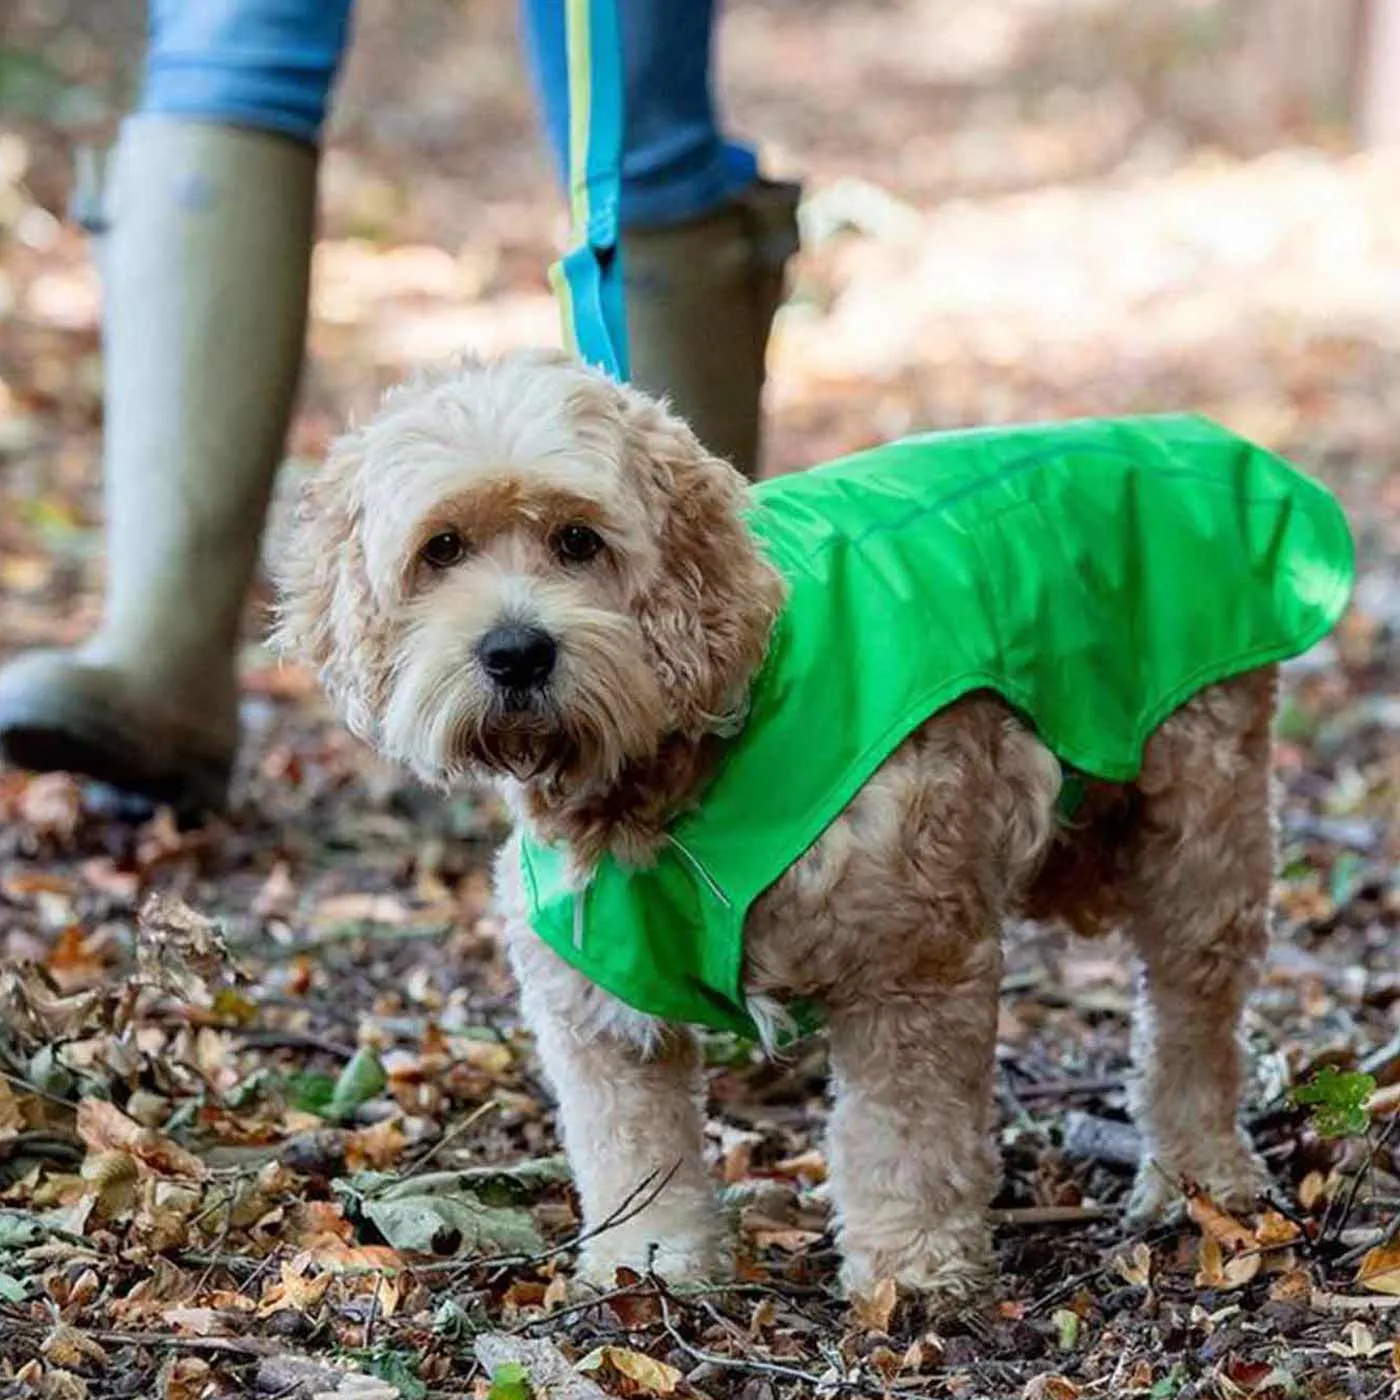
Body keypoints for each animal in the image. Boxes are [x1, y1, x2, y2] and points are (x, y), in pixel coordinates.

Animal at [273, 350, 1299, 1299]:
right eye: (441, 549)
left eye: (578, 540)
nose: (516, 651)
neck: (669, 775)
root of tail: (1191, 433)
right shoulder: (593, 998)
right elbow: (633, 1146)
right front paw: (650, 1264)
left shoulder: (913, 962)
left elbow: (907, 1137)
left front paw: (912, 1271)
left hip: (1204, 818)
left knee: (1194, 1016)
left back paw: (1200, 1174)